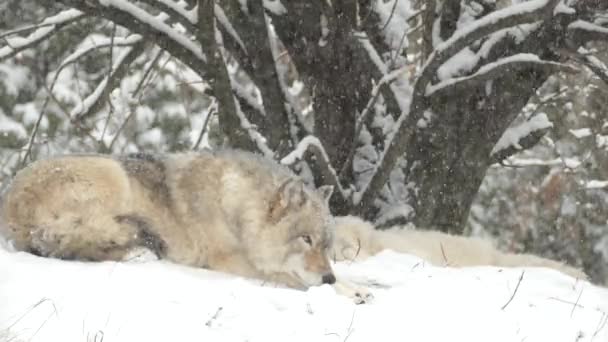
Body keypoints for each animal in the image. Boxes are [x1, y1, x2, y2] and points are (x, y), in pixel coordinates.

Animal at [1, 150, 376, 300]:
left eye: (326, 245)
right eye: (306, 239)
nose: (327, 276)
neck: (237, 206)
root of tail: (10, 209)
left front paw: (354, 286)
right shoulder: (233, 261)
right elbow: (292, 279)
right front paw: (342, 291)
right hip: (112, 173)